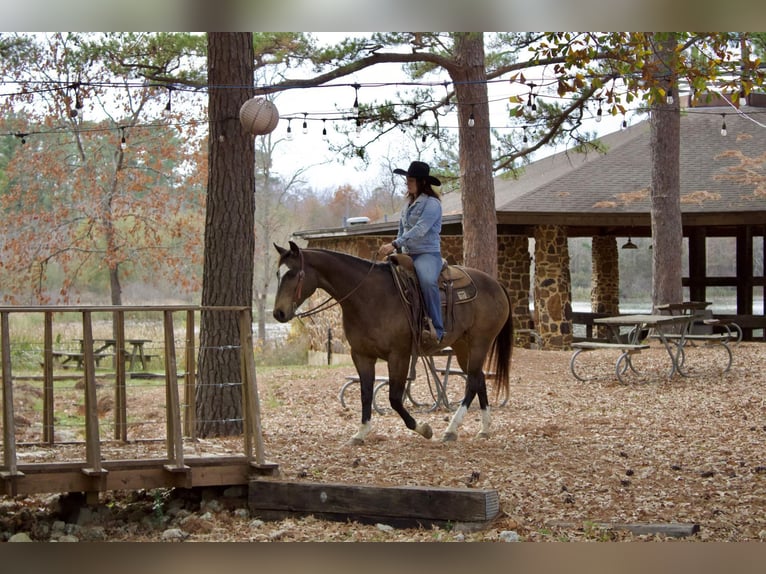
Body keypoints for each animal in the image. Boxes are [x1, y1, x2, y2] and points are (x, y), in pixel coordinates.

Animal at [272, 240, 512, 446]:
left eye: (294, 273)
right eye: (278, 274)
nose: (278, 313)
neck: (369, 296)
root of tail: (496, 283)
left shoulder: (399, 355)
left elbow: (394, 398)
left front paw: (423, 429)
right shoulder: (362, 355)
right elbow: (366, 394)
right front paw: (360, 433)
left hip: (480, 342)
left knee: (471, 382)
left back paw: (451, 429)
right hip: (463, 347)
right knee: (479, 378)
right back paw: (483, 429)